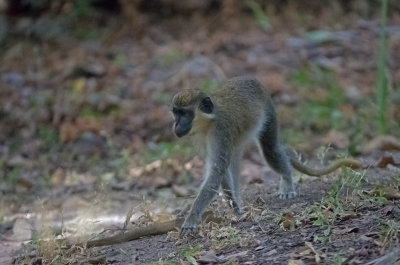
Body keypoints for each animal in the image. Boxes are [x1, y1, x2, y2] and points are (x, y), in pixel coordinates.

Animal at [170, 75, 360, 234]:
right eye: (175, 112)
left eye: (185, 113)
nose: (176, 125)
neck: (208, 122)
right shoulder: (203, 138)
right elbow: (219, 170)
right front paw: (235, 209)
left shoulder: (220, 131)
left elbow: (216, 172)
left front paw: (191, 219)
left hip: (269, 111)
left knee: (270, 150)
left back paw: (287, 180)